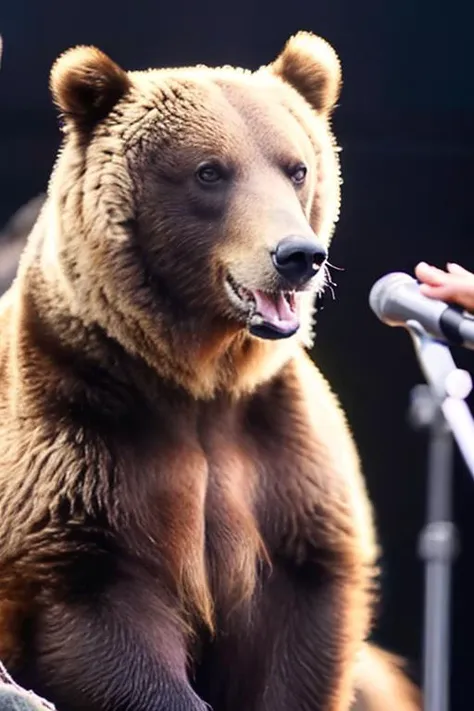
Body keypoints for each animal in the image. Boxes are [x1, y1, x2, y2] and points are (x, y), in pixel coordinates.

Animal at [0, 30, 418, 708]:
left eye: (296, 167)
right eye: (209, 172)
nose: (298, 256)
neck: (199, 378)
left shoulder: (277, 458)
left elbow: (299, 626)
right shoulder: (80, 446)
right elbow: (102, 618)